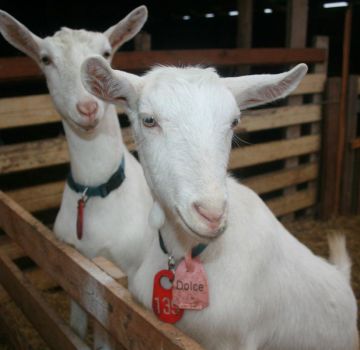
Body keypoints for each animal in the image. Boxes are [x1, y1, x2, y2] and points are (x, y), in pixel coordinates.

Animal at [0, 6, 153, 344]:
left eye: (107, 53)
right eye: (45, 59)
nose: (87, 108)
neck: (95, 190)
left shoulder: (117, 290)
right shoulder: (77, 275)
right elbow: (74, 330)